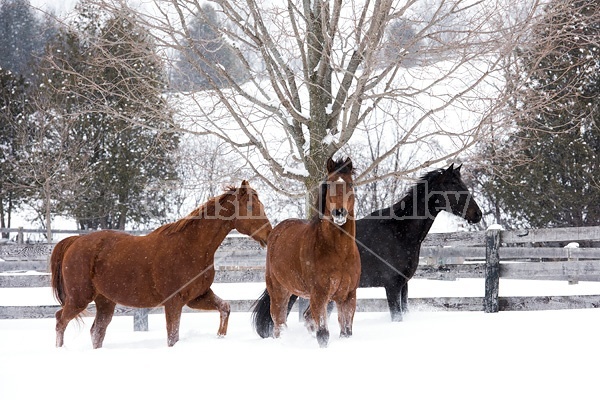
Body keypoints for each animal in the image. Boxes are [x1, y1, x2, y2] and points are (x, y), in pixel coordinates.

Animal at [51, 180, 272, 346]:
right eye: (250, 206)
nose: (269, 235)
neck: (190, 246)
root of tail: (74, 241)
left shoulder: (197, 297)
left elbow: (225, 307)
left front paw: (220, 336)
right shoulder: (173, 302)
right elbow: (173, 337)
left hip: (105, 302)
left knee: (96, 332)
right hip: (79, 298)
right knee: (60, 320)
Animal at [251, 156, 358, 346]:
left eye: (350, 184)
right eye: (329, 183)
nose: (339, 212)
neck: (340, 253)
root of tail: (274, 232)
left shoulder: (348, 296)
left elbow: (346, 332)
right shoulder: (320, 294)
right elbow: (323, 334)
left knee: (305, 318)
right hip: (279, 291)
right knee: (279, 323)